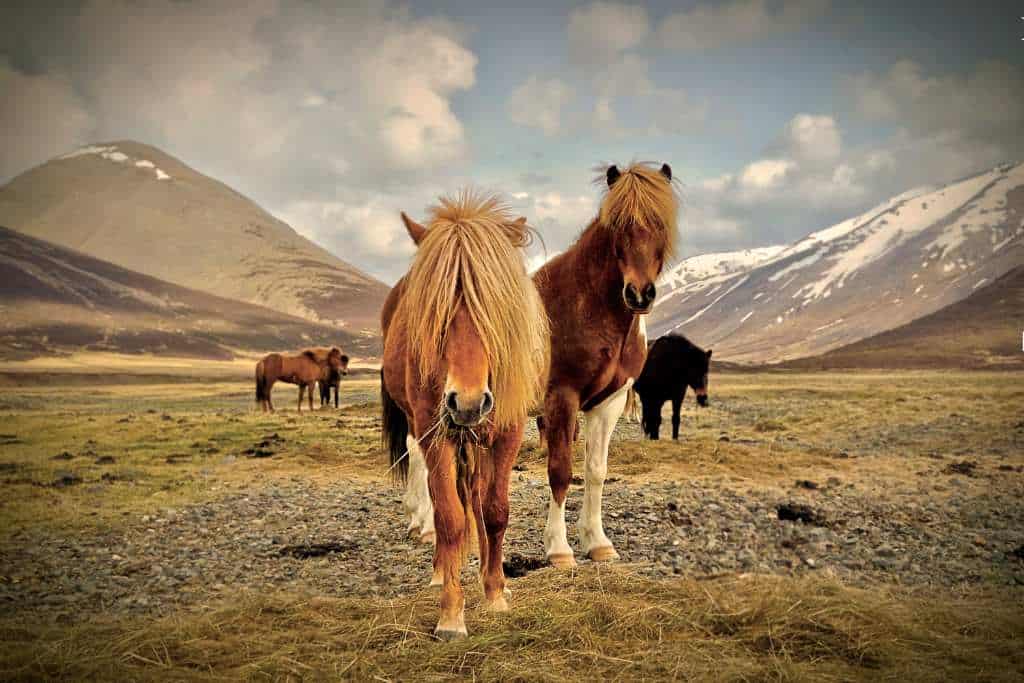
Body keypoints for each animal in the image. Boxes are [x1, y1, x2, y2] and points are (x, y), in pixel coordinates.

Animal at [380, 192, 548, 643]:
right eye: (435, 313)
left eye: (496, 309)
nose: (468, 403)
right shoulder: (433, 433)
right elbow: (450, 518)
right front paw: (452, 614)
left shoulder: (507, 430)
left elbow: (495, 511)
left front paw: (496, 592)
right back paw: (443, 571)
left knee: (477, 496)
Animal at [532, 161, 675, 565]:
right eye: (618, 227)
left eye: (661, 223)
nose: (639, 294)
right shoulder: (561, 397)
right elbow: (560, 471)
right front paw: (559, 548)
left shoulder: (609, 401)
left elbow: (596, 470)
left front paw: (596, 541)